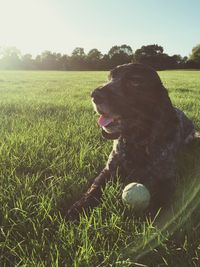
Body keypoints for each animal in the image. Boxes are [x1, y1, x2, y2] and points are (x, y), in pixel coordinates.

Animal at [67, 63, 197, 221]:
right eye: (109, 78)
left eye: (135, 81)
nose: (95, 95)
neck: (137, 143)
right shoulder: (108, 170)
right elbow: (93, 189)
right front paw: (78, 207)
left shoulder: (168, 178)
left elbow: (161, 199)